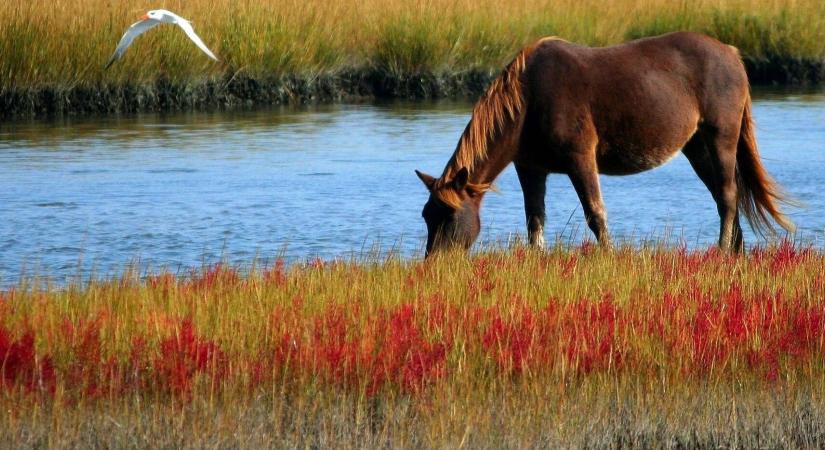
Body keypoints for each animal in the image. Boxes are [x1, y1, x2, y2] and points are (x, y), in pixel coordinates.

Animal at [418, 30, 792, 256]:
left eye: (449, 216)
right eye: (426, 215)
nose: (435, 264)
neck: (528, 100)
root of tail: (731, 53)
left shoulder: (580, 159)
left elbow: (595, 213)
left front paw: (608, 257)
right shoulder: (530, 168)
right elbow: (535, 220)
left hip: (720, 137)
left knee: (728, 195)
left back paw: (722, 250)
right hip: (697, 147)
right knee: (723, 196)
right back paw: (735, 251)